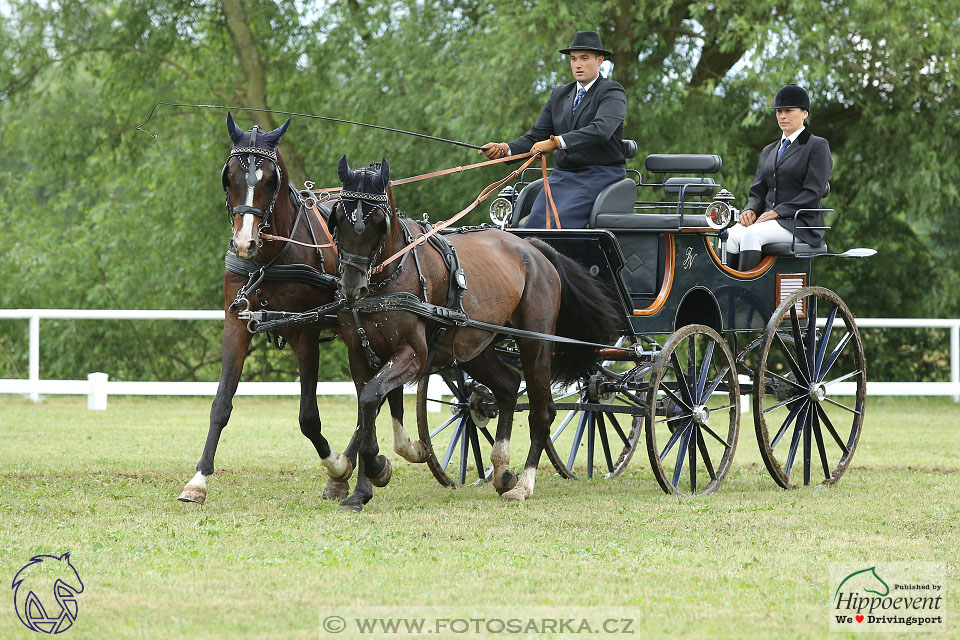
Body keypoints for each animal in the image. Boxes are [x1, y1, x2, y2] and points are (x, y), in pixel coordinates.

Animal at [178, 114, 362, 504]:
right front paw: (198, 480)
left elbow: (308, 417)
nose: (244, 243)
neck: (269, 259)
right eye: (229, 176)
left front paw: (336, 467)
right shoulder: (236, 322)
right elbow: (221, 403)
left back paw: (348, 466)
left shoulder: (304, 331)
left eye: (270, 178)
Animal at [328, 158, 624, 512]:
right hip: (474, 348)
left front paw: (377, 467)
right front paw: (362, 488)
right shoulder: (362, 354)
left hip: (536, 344)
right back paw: (502, 470)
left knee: (543, 411)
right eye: (338, 219)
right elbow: (368, 409)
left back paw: (523, 484)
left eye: (377, 222)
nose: (350, 287)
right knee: (508, 387)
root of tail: (534, 248)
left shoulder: (413, 354)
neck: (389, 277)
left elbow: (372, 401)